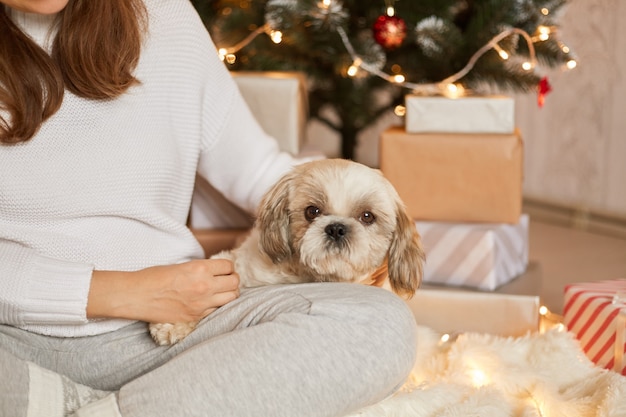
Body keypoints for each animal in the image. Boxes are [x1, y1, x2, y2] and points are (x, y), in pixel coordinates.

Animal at [150, 158, 424, 342]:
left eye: (367, 216)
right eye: (312, 211)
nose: (336, 228)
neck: (311, 277)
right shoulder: (235, 266)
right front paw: (174, 321)